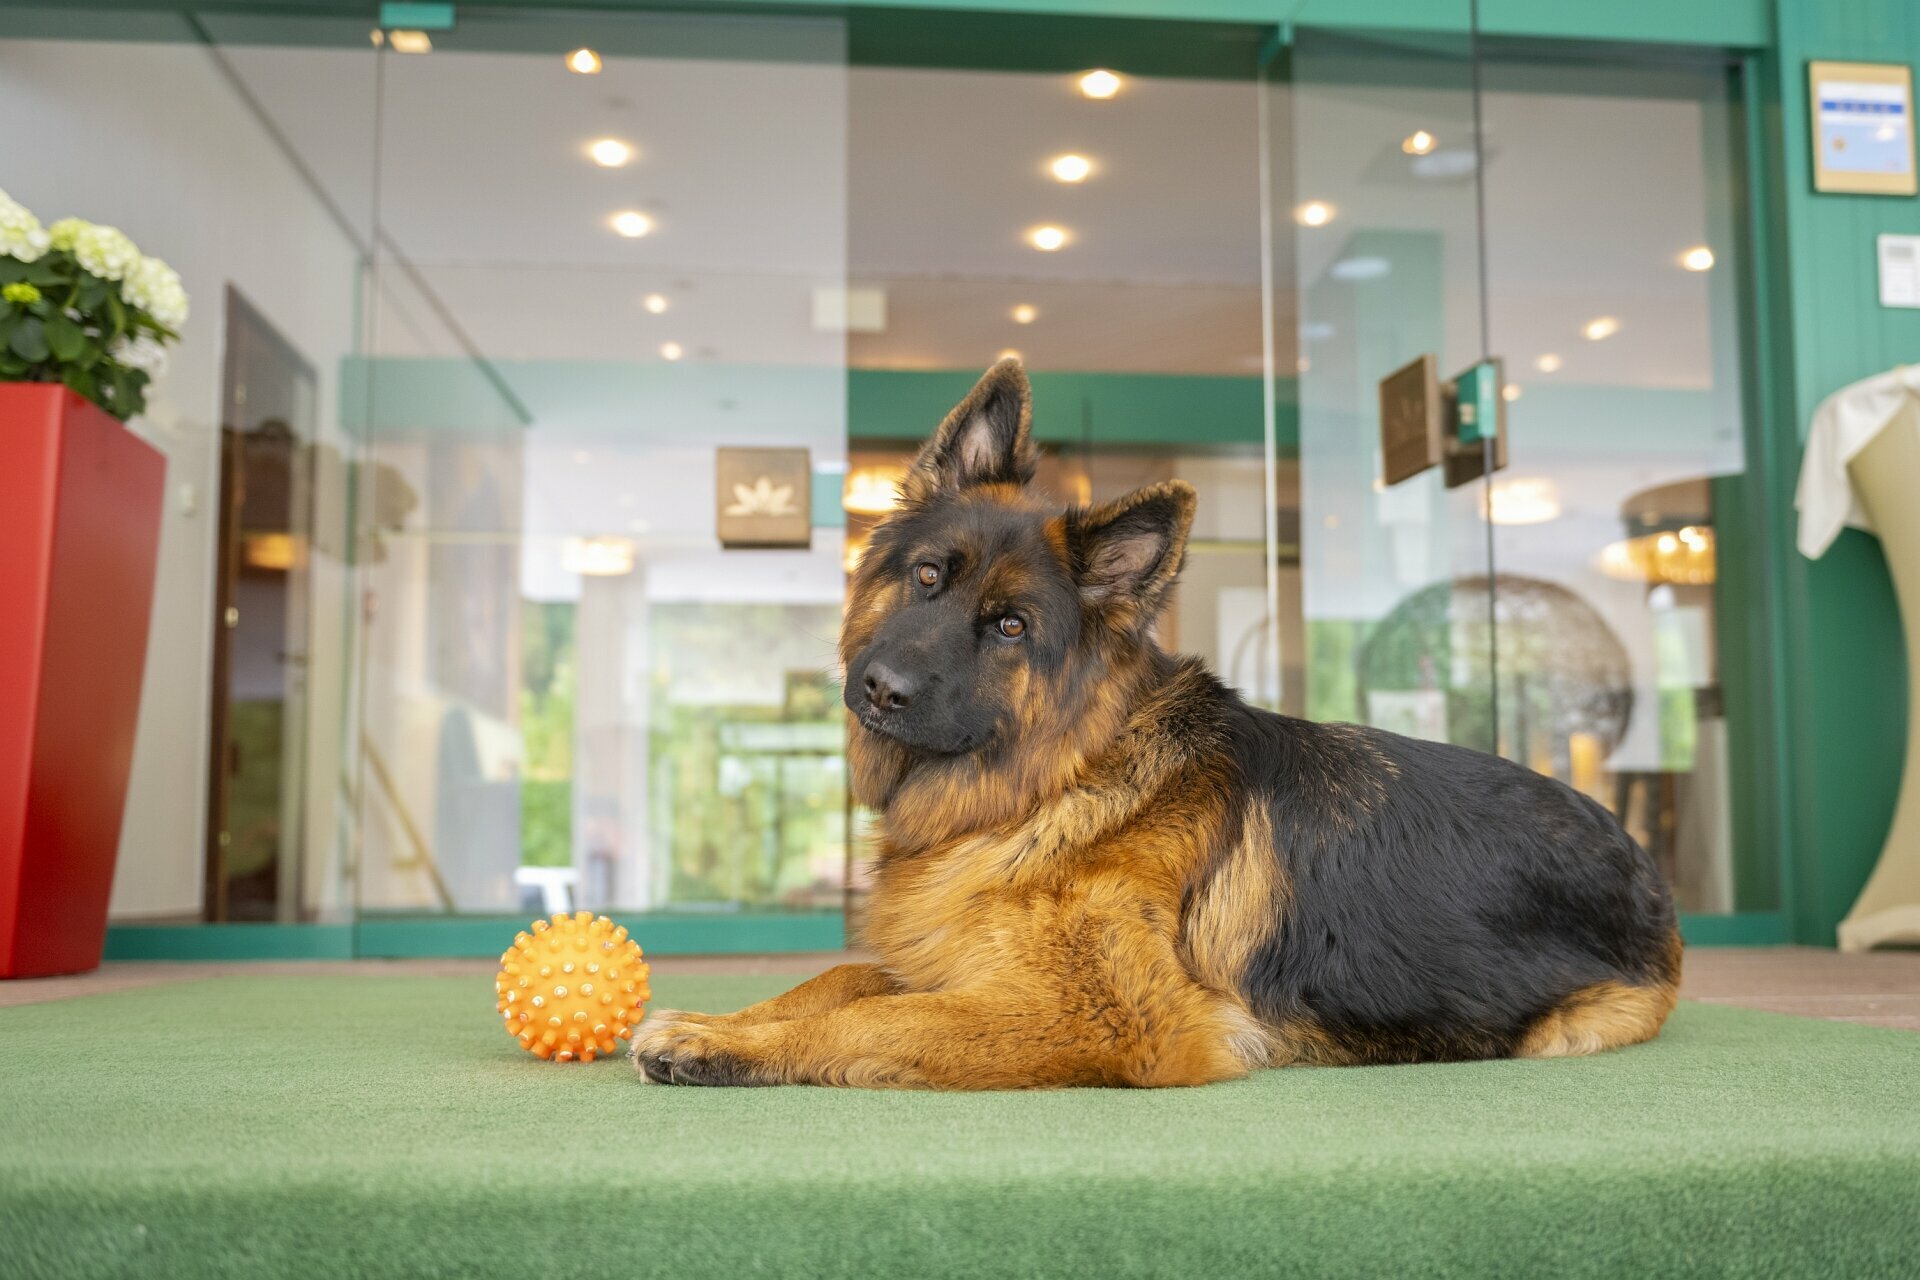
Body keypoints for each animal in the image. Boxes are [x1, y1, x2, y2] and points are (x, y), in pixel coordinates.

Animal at [633, 360, 1681, 1090]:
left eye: (1010, 628)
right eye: (927, 576)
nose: (880, 689)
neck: (1056, 784)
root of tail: (1644, 863)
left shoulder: (1098, 1017)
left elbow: (867, 1021)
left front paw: (717, 1044)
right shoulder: (964, 967)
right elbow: (840, 980)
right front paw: (730, 1021)